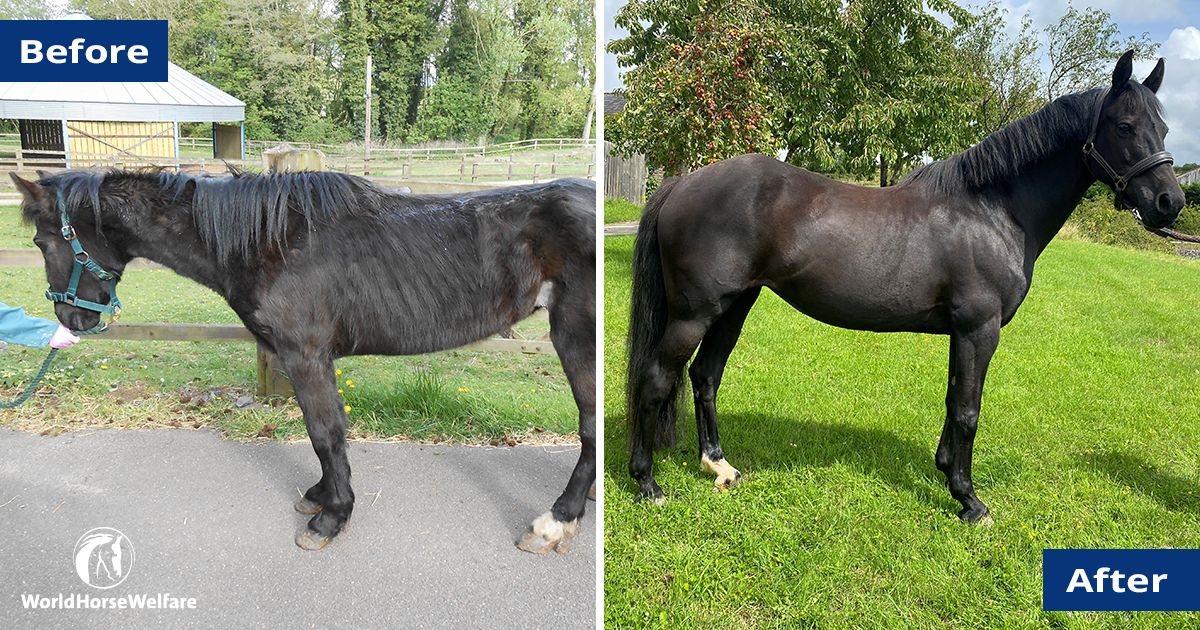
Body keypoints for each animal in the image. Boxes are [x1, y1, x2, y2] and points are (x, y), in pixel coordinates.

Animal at [11, 165, 597, 549]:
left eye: (41, 242)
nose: (71, 321)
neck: (267, 241)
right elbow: (325, 434)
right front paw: (321, 495)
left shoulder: (306, 354)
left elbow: (324, 432)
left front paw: (331, 517)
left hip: (576, 338)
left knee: (590, 426)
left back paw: (556, 520)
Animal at [628, 51, 1180, 520]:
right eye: (1125, 126)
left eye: (1164, 127)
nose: (1169, 203)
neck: (994, 210)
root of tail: (683, 182)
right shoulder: (980, 329)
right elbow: (968, 409)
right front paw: (969, 501)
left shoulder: (964, 333)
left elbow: (954, 400)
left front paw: (947, 474)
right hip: (694, 312)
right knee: (656, 379)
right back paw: (648, 484)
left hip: (734, 305)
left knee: (705, 376)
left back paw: (718, 465)